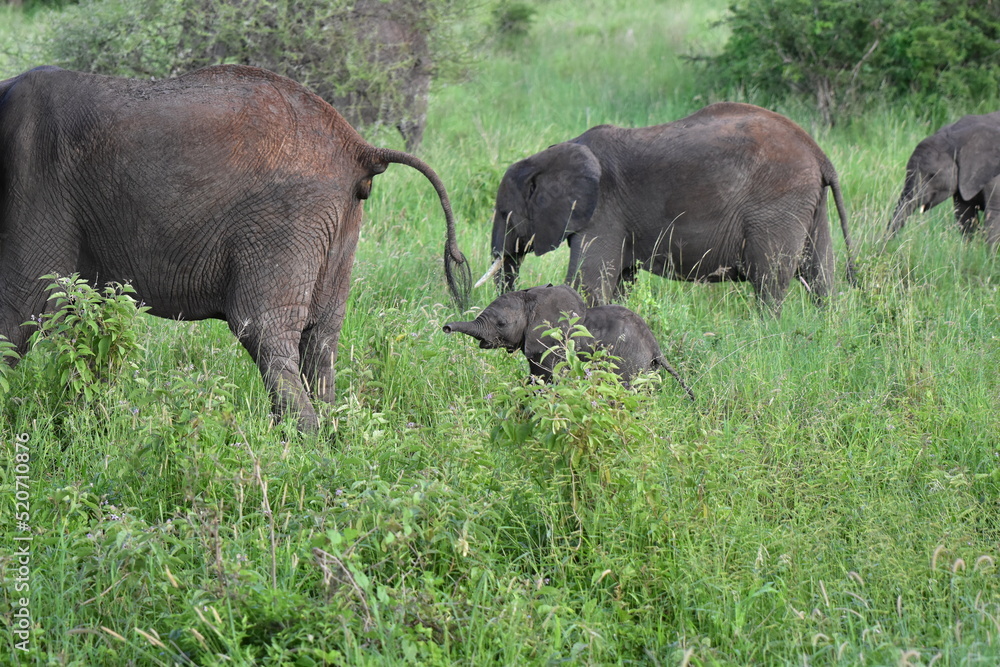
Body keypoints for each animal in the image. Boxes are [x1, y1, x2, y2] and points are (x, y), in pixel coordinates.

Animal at [0, 65, 470, 431]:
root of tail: (357, 146)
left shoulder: (31, 182)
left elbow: (22, 309)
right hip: (339, 223)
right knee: (322, 335)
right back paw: (329, 439)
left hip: (286, 216)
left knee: (262, 329)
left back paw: (297, 449)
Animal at [442, 285, 694, 399]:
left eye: (501, 323)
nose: (446, 328)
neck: (533, 299)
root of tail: (655, 347)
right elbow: (535, 379)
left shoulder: (552, 344)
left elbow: (548, 379)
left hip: (629, 362)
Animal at [477, 102, 856, 314]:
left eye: (503, 213)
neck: (550, 154)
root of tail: (818, 151)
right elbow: (618, 283)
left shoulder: (603, 211)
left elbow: (587, 283)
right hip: (808, 204)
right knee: (821, 275)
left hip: (777, 203)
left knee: (770, 281)